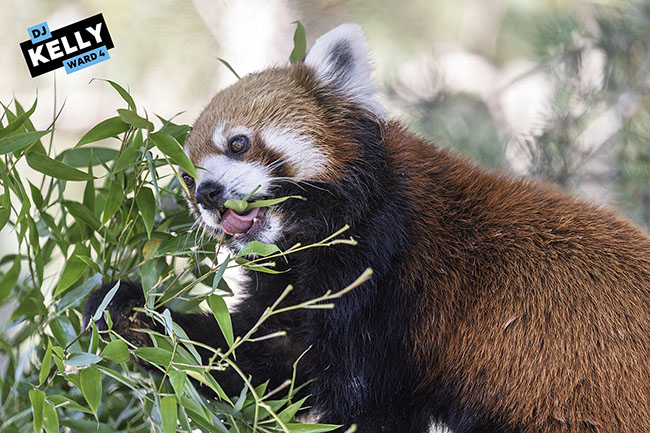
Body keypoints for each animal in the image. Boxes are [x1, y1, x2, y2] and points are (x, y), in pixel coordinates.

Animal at [84, 24, 650, 433]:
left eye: (239, 143)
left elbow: (359, 401)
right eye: (185, 176)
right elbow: (256, 360)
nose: (206, 194)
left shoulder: (383, 279)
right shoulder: (295, 290)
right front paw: (122, 308)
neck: (312, 235)